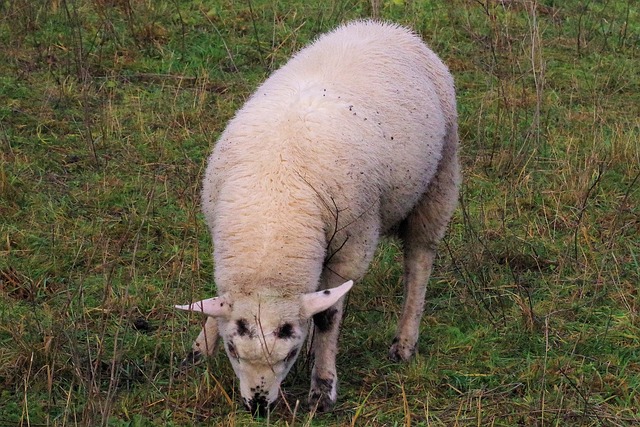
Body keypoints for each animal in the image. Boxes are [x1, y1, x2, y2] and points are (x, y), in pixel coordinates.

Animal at [176, 20, 460, 418]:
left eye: (288, 354)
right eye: (233, 351)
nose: (258, 406)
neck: (272, 218)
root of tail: (384, 26)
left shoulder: (351, 249)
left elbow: (329, 320)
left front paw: (322, 386)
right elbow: (218, 304)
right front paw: (199, 350)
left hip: (440, 181)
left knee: (418, 261)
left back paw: (404, 342)